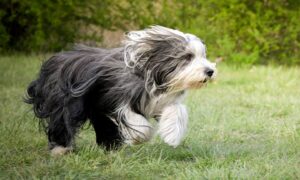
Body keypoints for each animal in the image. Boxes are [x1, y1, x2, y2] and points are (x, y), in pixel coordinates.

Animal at [25, 25, 216, 155]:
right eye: (188, 57)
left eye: (203, 56)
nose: (210, 71)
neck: (150, 73)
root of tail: (54, 60)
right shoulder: (117, 97)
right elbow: (135, 121)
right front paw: (139, 137)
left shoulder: (159, 101)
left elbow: (177, 110)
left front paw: (172, 134)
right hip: (66, 102)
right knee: (61, 121)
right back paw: (61, 149)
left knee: (103, 126)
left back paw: (111, 147)